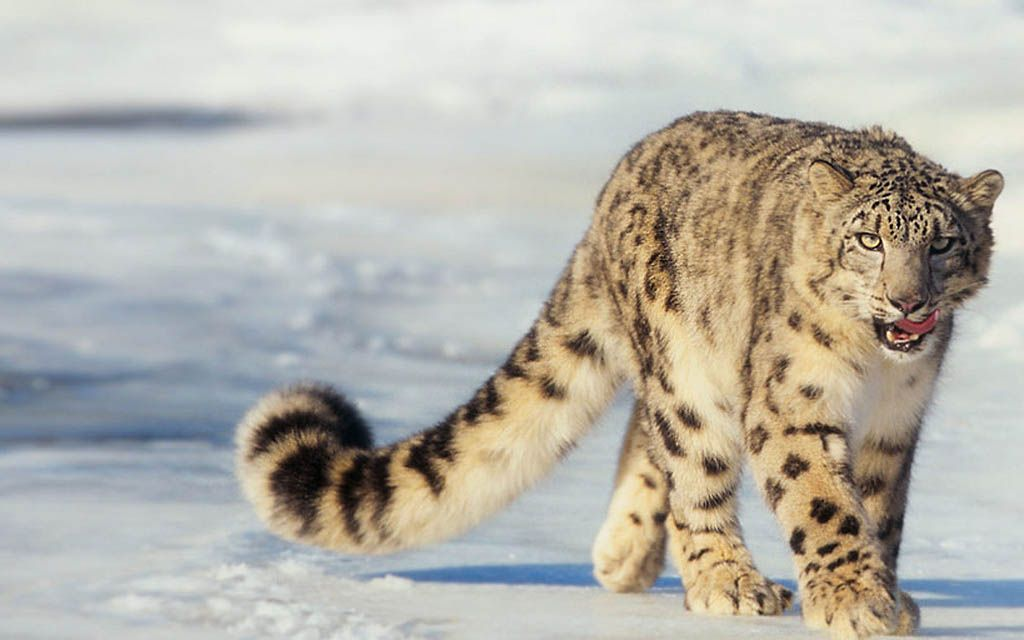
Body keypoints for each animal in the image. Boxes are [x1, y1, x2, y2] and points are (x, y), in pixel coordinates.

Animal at [235, 111, 1003, 638]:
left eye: (942, 243)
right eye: (868, 241)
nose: (908, 301)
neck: (873, 371)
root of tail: (616, 183)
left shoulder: (895, 424)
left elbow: (879, 509)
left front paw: (886, 593)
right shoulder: (793, 405)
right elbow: (823, 503)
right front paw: (853, 599)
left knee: (651, 434)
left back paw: (626, 552)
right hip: (684, 364)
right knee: (691, 464)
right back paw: (726, 581)